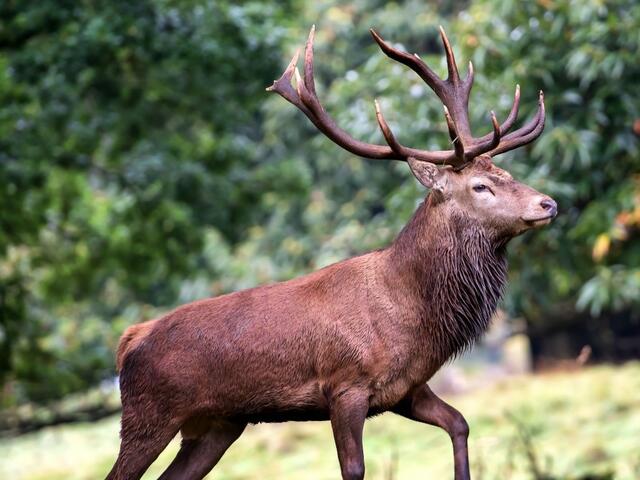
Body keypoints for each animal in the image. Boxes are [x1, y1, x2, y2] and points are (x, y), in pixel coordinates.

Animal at [106, 25, 556, 480]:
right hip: (149, 414)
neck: (412, 315)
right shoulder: (344, 386)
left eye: (507, 173)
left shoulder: (407, 390)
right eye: (480, 186)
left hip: (218, 424)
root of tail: (129, 341)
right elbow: (354, 468)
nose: (548, 203)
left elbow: (460, 423)